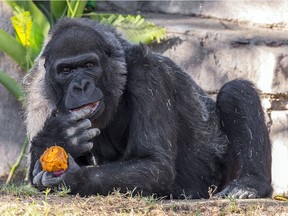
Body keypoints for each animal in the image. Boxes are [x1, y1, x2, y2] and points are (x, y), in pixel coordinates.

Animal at [23, 17, 272, 198]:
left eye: (89, 65)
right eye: (65, 70)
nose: (81, 86)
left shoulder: (149, 72)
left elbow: (154, 165)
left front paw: (75, 178)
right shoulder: (38, 91)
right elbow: (34, 173)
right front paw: (59, 136)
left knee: (235, 92)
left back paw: (250, 184)